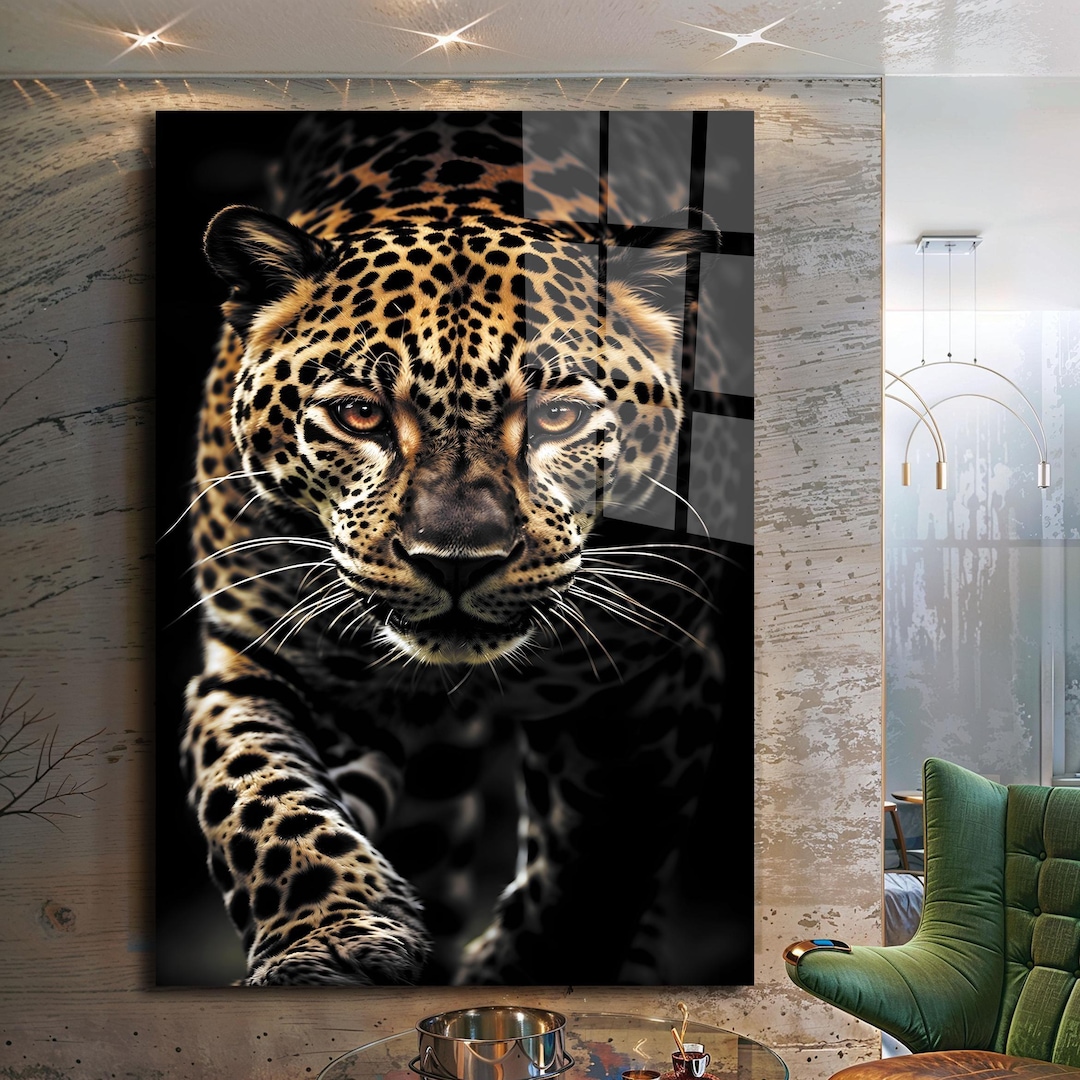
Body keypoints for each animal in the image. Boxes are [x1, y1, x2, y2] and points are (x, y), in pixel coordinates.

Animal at [178, 111, 748, 986]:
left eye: (555, 418)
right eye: (359, 414)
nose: (454, 561)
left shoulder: (648, 678)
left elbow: (602, 860)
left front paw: (536, 967)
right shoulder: (270, 658)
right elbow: (256, 795)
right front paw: (329, 936)